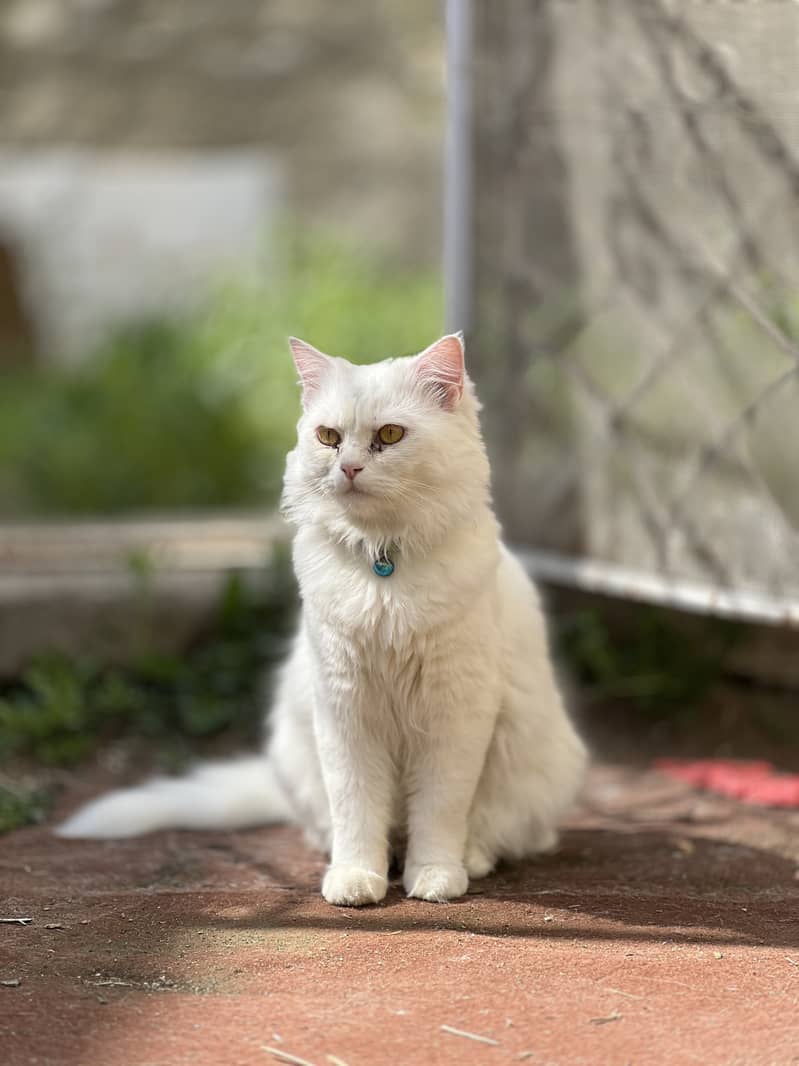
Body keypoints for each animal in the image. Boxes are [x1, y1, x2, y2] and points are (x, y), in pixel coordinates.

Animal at [59, 334, 588, 908]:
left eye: (389, 435)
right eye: (329, 437)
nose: (349, 469)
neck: (384, 563)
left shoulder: (454, 714)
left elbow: (439, 811)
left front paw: (434, 877)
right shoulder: (344, 710)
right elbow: (356, 810)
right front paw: (356, 879)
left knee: (505, 832)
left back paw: (468, 860)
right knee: (338, 826)